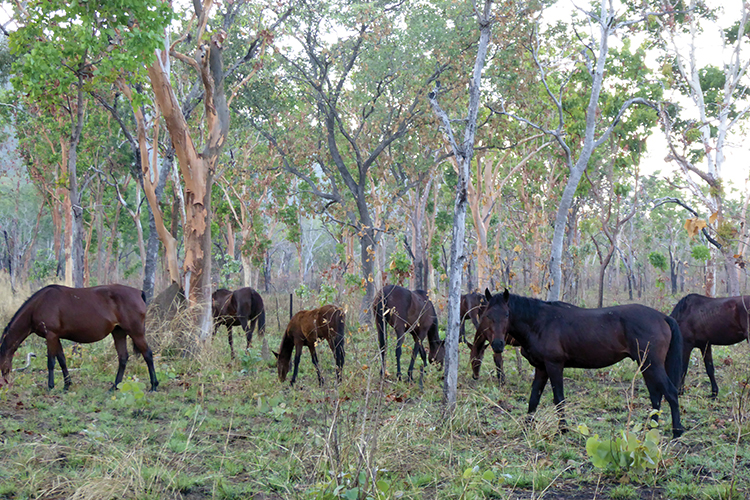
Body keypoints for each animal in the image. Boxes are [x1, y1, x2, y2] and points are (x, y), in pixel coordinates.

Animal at [0, 284, 159, 392]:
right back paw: (114, 386)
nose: (4, 383)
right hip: (118, 332)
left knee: (147, 354)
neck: (39, 305)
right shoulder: (56, 337)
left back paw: (154, 385)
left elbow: (51, 362)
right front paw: (67, 385)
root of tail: (138, 292)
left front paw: (51, 386)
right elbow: (62, 360)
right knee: (123, 357)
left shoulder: (50, 336)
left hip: (136, 332)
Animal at [482, 290, 688, 438]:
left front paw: (562, 430)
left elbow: (559, 398)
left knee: (670, 392)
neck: (540, 323)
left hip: (653, 364)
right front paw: (527, 427)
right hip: (646, 365)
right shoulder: (541, 368)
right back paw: (651, 429)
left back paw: (677, 431)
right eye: (488, 315)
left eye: (507, 314)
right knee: (655, 396)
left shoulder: (554, 365)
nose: (498, 345)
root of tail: (663, 317)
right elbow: (534, 398)